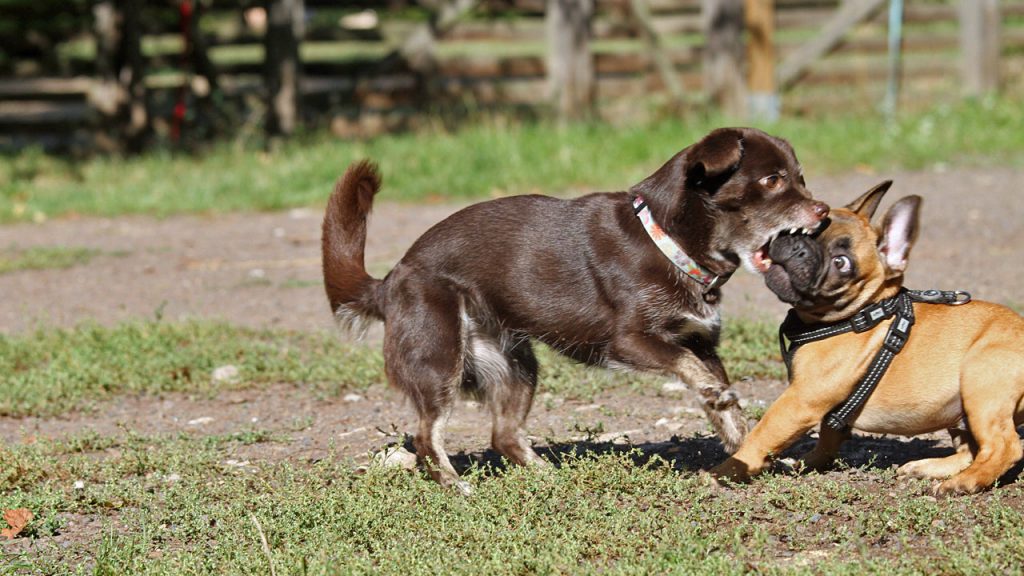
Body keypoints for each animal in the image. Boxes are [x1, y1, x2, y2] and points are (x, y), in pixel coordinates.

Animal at [323, 127, 827, 491]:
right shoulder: (629, 341)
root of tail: (391, 279)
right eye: (772, 180)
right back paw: (452, 484)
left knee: (503, 434)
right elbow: (692, 371)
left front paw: (748, 455)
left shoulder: (703, 342)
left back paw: (545, 475)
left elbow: (730, 412)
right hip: (439, 355)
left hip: (516, 363)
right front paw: (716, 399)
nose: (822, 212)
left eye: (802, 177)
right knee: (427, 435)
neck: (666, 241)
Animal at [712, 180, 1024, 494]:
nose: (799, 247)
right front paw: (811, 462)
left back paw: (962, 482)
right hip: (961, 410)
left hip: (982, 382)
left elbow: (761, 436)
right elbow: (828, 435)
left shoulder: (800, 400)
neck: (862, 312)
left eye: (841, 263)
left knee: (1003, 447)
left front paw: (721, 473)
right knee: (970, 449)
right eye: (807, 231)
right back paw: (928, 468)